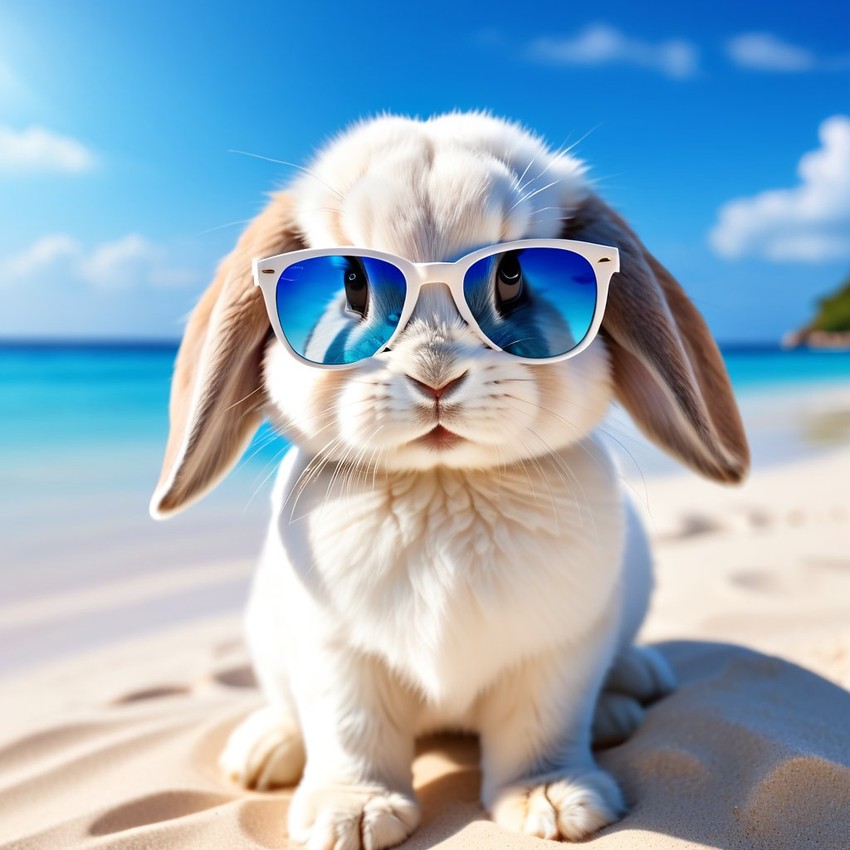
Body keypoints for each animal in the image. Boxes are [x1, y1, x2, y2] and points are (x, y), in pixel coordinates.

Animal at [149, 112, 744, 848]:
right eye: (352, 282)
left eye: (513, 275)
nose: (435, 377)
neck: (443, 486)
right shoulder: (336, 656)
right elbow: (351, 731)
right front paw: (353, 814)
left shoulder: (557, 653)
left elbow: (541, 728)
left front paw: (553, 802)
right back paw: (264, 752)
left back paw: (627, 693)